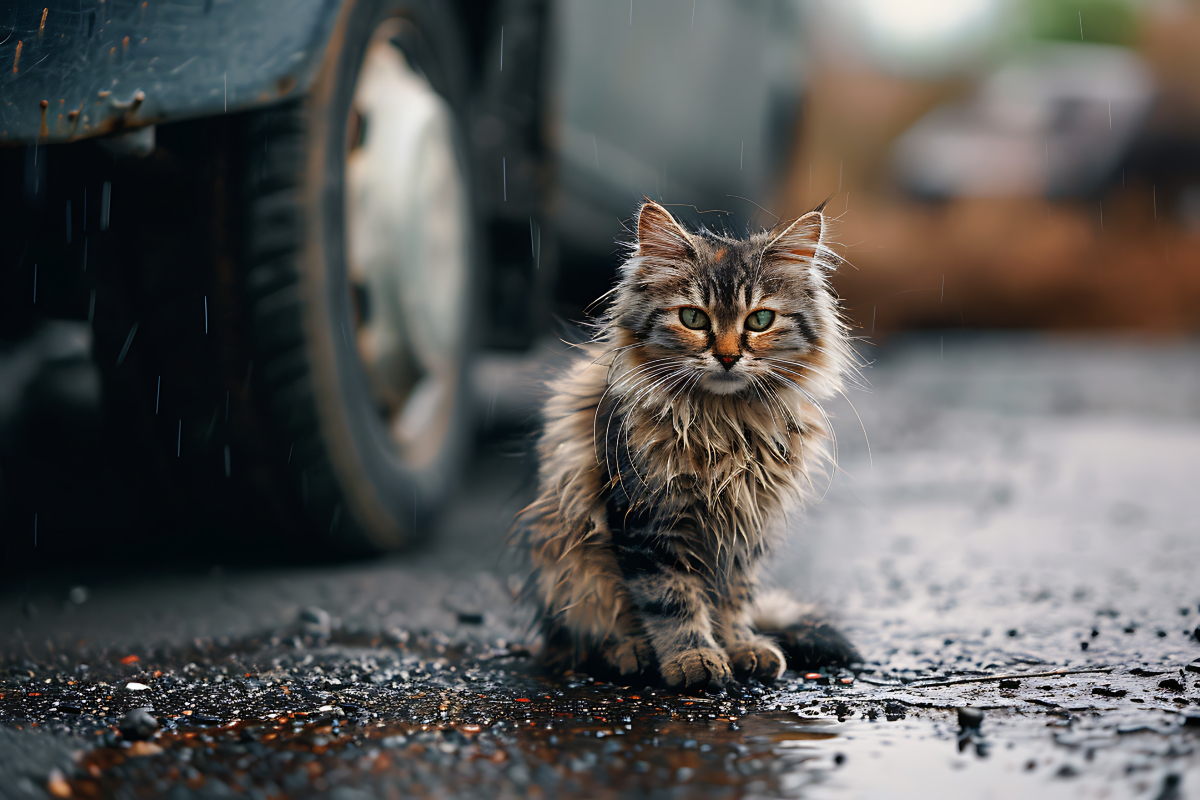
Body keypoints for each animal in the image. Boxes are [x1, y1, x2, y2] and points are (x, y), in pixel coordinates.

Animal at [520, 200, 859, 690]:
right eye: (693, 318)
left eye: (760, 320)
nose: (728, 356)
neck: (724, 422)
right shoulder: (647, 521)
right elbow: (672, 601)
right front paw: (693, 658)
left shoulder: (744, 527)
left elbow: (733, 596)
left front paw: (739, 646)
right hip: (569, 565)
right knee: (582, 638)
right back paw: (630, 653)